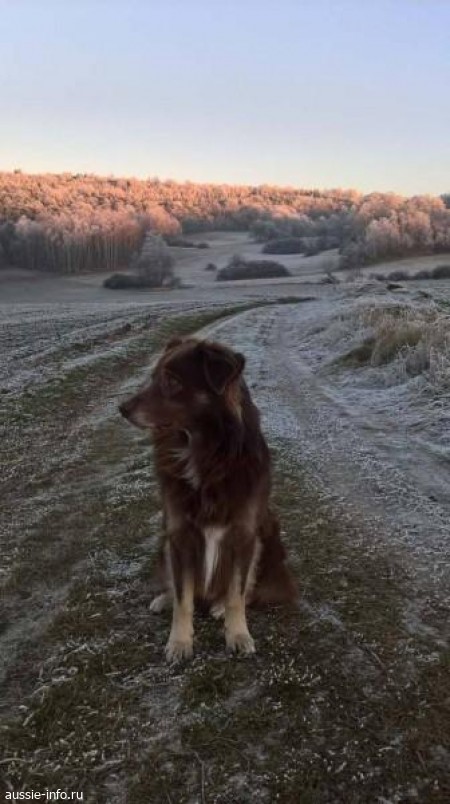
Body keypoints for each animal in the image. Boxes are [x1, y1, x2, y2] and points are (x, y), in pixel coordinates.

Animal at [119, 336, 296, 661]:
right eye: (153, 376)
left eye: (172, 381)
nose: (122, 409)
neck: (206, 454)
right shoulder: (178, 534)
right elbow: (183, 597)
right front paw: (179, 641)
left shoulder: (244, 533)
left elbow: (237, 593)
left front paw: (237, 634)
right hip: (164, 543)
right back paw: (163, 598)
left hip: (268, 539)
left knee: (245, 590)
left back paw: (218, 606)